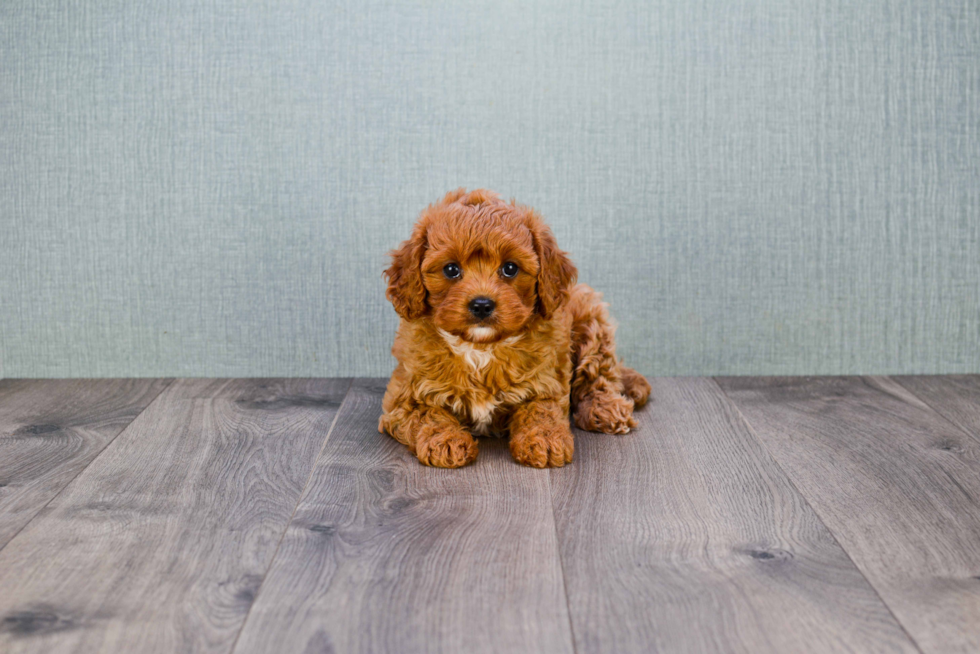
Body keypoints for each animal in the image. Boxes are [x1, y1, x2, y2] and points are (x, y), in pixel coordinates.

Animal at [378, 190, 652, 472]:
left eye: (510, 268)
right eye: (451, 269)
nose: (482, 304)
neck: (480, 347)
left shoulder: (546, 383)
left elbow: (540, 410)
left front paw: (544, 439)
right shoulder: (402, 398)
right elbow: (427, 413)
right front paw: (446, 441)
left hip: (590, 316)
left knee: (600, 373)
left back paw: (605, 408)